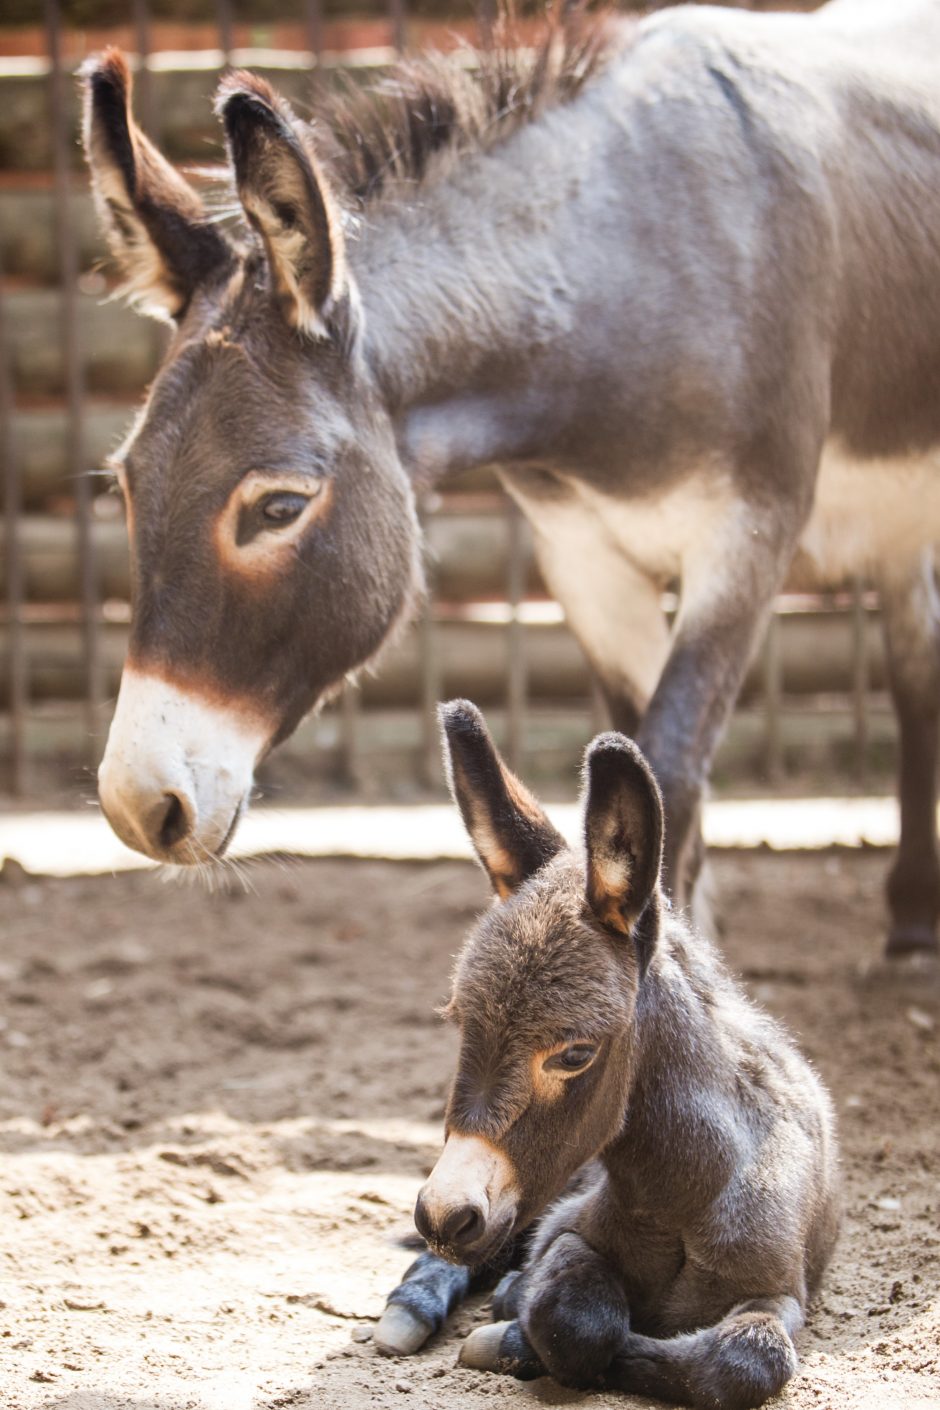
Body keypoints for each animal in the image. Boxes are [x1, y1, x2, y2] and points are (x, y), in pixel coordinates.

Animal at [377, 705, 839, 1410]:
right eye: (458, 1023)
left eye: (574, 1054)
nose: (443, 1213)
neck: (675, 1197)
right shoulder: (564, 1229)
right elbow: (576, 1320)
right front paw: (516, 1332)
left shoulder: (778, 1290)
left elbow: (745, 1359)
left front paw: (513, 1336)